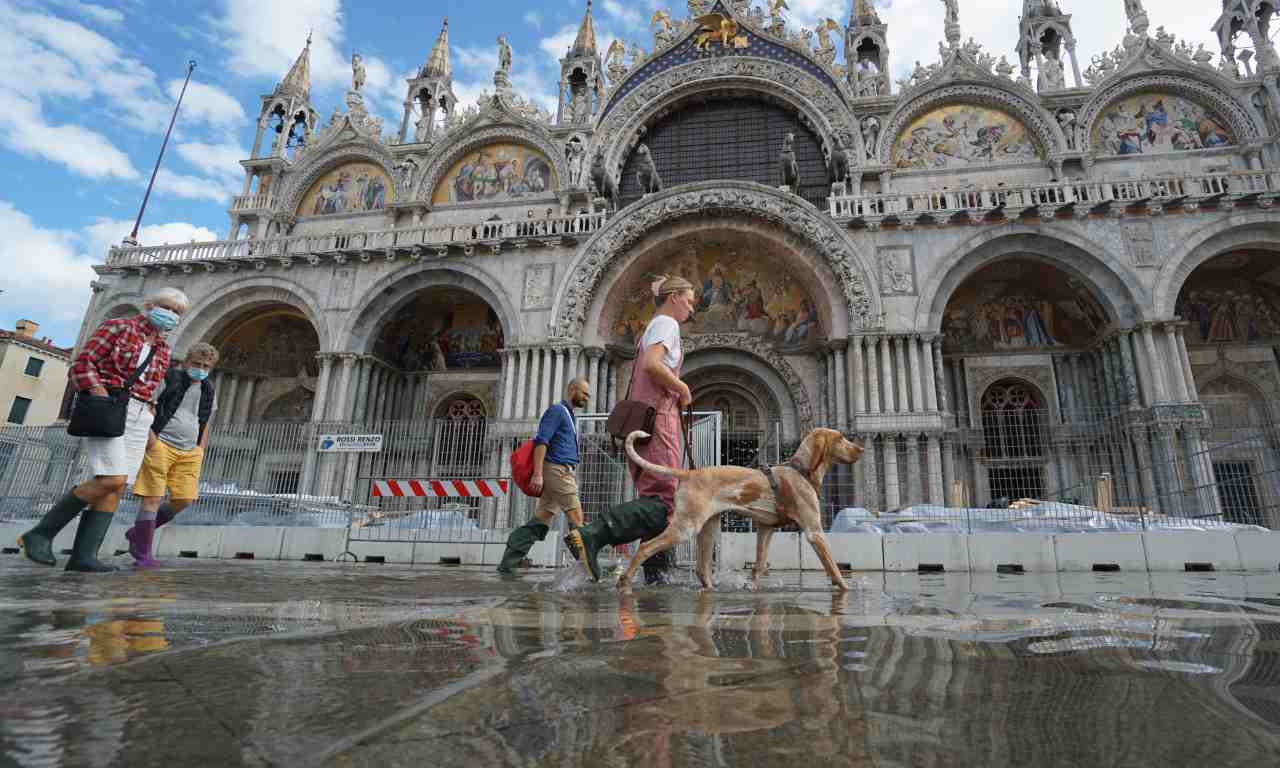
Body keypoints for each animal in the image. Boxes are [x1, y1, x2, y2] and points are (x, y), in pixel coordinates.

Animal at [616, 430, 860, 591]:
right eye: (840, 438)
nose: (861, 449)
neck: (800, 470)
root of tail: (688, 473)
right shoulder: (814, 532)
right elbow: (832, 566)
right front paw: (845, 587)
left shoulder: (766, 529)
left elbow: (759, 563)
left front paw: (752, 587)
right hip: (686, 528)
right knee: (645, 547)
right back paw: (624, 581)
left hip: (708, 529)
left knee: (701, 569)